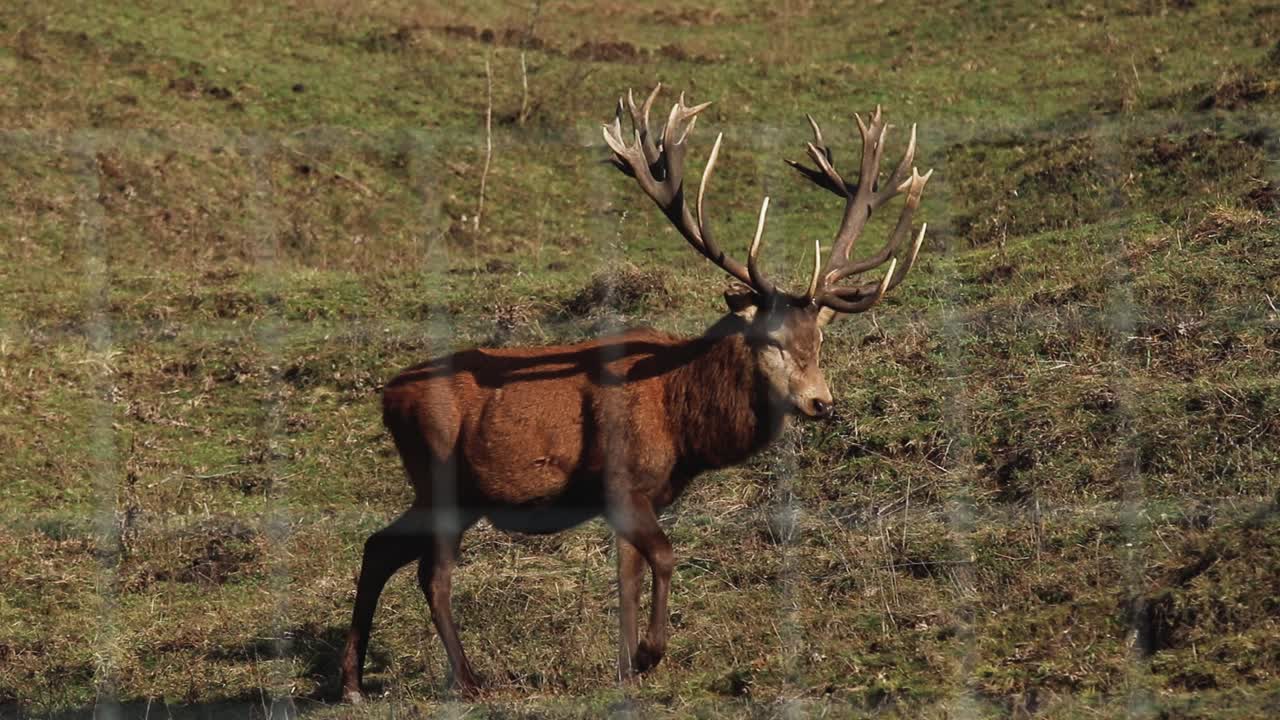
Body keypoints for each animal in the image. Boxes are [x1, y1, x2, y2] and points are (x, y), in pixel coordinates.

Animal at [339, 83, 932, 702]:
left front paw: (625, 666)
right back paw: (468, 679)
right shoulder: (621, 481)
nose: (822, 402)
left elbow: (628, 575)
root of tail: (387, 397)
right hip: (440, 475)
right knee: (432, 575)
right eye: (771, 340)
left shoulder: (642, 495)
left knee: (378, 546)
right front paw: (648, 654)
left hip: (451, 492)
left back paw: (352, 682)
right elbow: (665, 557)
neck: (681, 422)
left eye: (818, 339)